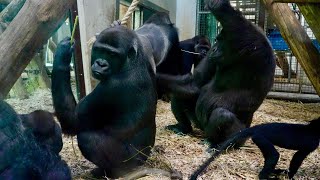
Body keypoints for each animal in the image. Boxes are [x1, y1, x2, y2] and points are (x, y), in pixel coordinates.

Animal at [50, 13, 182, 178]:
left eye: (112, 54)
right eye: (100, 50)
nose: (101, 64)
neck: (128, 63)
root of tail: (142, 164)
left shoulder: (111, 87)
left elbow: (72, 121)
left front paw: (63, 54)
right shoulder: (145, 49)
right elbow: (151, 35)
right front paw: (116, 25)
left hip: (130, 162)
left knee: (87, 138)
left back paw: (117, 173)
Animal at [157, 0, 276, 146]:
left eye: (221, 41)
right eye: (216, 40)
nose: (213, 50)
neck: (238, 56)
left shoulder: (256, 44)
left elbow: (237, 23)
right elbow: (194, 83)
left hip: (241, 137)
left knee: (223, 116)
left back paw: (215, 143)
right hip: (199, 124)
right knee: (180, 95)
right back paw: (184, 128)